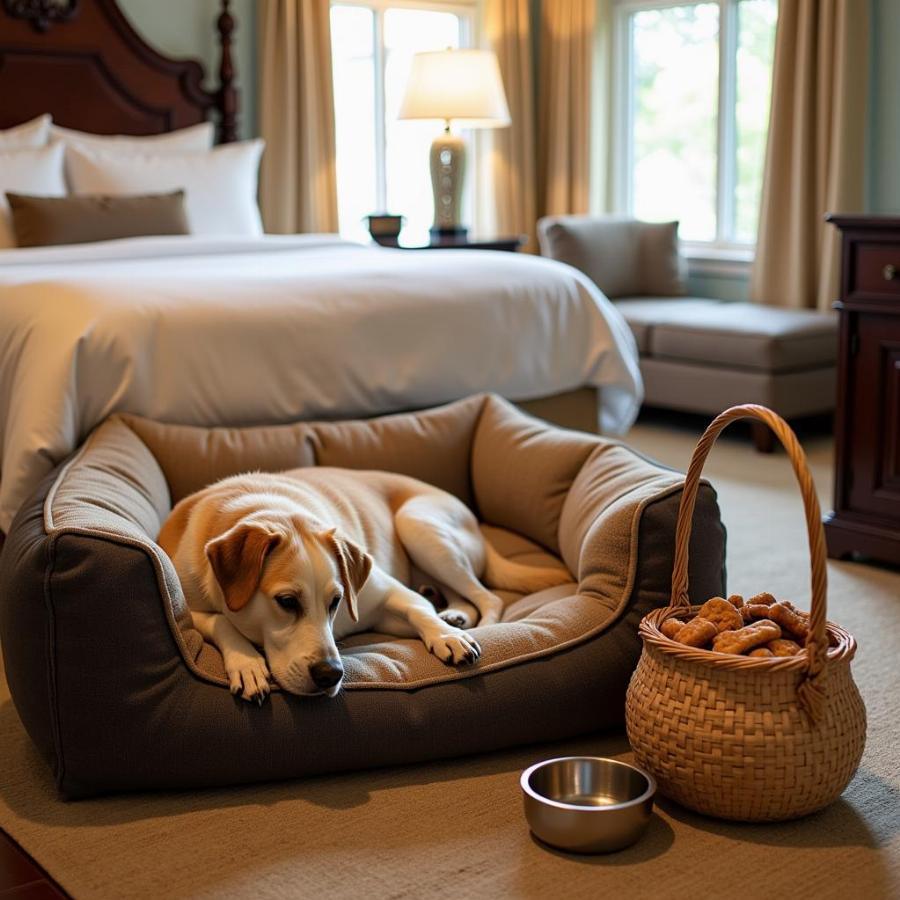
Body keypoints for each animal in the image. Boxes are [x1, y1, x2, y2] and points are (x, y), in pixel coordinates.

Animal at [157, 472, 568, 704]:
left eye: (336, 601)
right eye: (286, 601)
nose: (331, 675)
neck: (269, 509)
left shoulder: (383, 594)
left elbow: (418, 609)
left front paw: (446, 636)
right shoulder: (188, 606)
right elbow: (221, 621)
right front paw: (247, 663)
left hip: (418, 524)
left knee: (487, 594)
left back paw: (473, 623)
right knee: (465, 595)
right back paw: (456, 613)